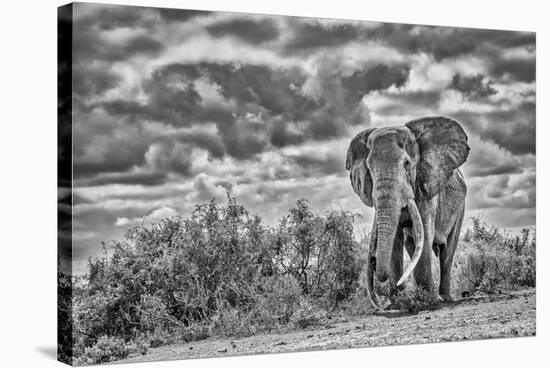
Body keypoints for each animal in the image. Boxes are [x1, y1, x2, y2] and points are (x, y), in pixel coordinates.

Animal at [344, 116, 470, 310]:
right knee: (412, 245)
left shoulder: (426, 188)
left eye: (407, 164)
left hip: (460, 208)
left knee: (447, 250)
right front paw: (397, 303)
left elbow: (425, 232)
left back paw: (444, 298)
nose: (373, 261)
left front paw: (427, 301)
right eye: (369, 169)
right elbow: (395, 238)